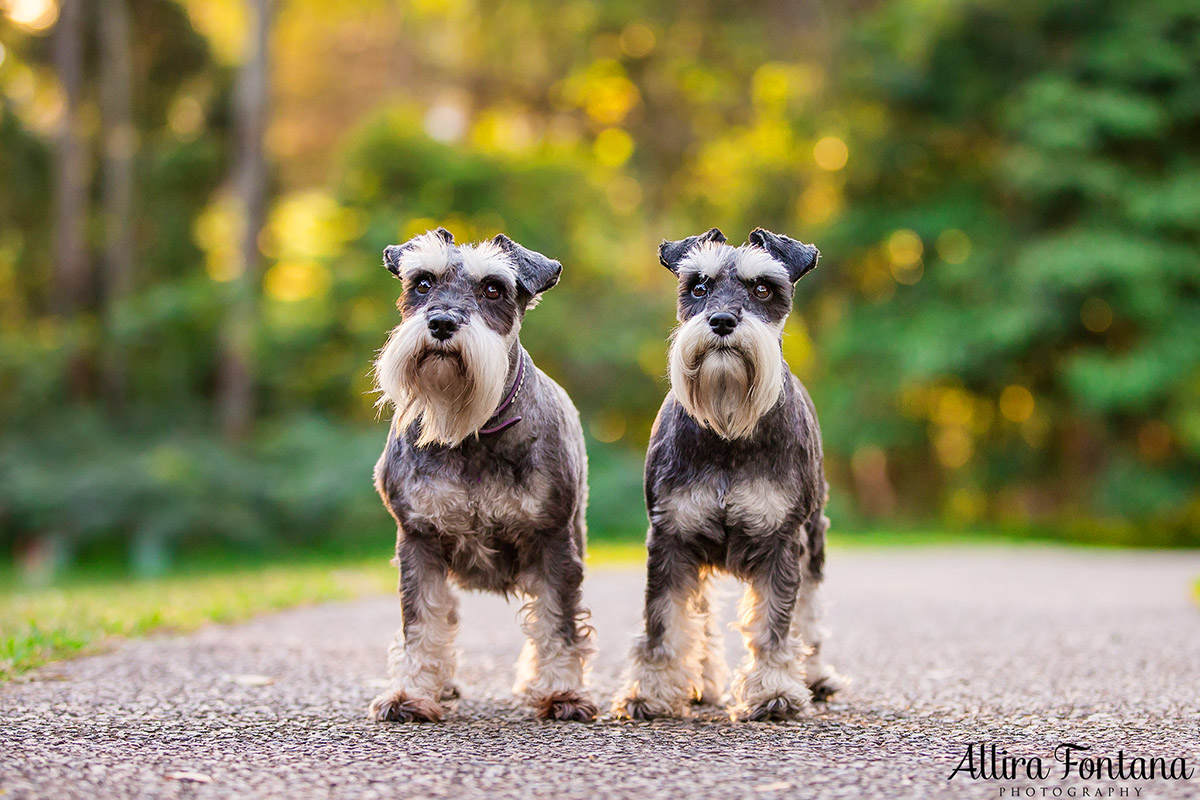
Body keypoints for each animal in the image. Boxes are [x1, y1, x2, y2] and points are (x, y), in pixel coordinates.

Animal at [362, 227, 592, 724]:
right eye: (422, 282)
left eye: (493, 288)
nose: (442, 323)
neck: (469, 430)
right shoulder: (419, 540)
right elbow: (423, 621)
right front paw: (411, 693)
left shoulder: (553, 542)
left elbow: (558, 621)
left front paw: (562, 692)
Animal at [614, 226, 849, 724]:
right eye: (698, 287)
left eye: (762, 288)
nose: (721, 320)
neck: (727, 433)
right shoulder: (671, 539)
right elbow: (665, 622)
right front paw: (651, 691)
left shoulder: (782, 541)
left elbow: (775, 625)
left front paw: (775, 691)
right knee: (699, 619)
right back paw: (699, 683)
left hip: (814, 543)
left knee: (809, 614)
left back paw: (815, 676)